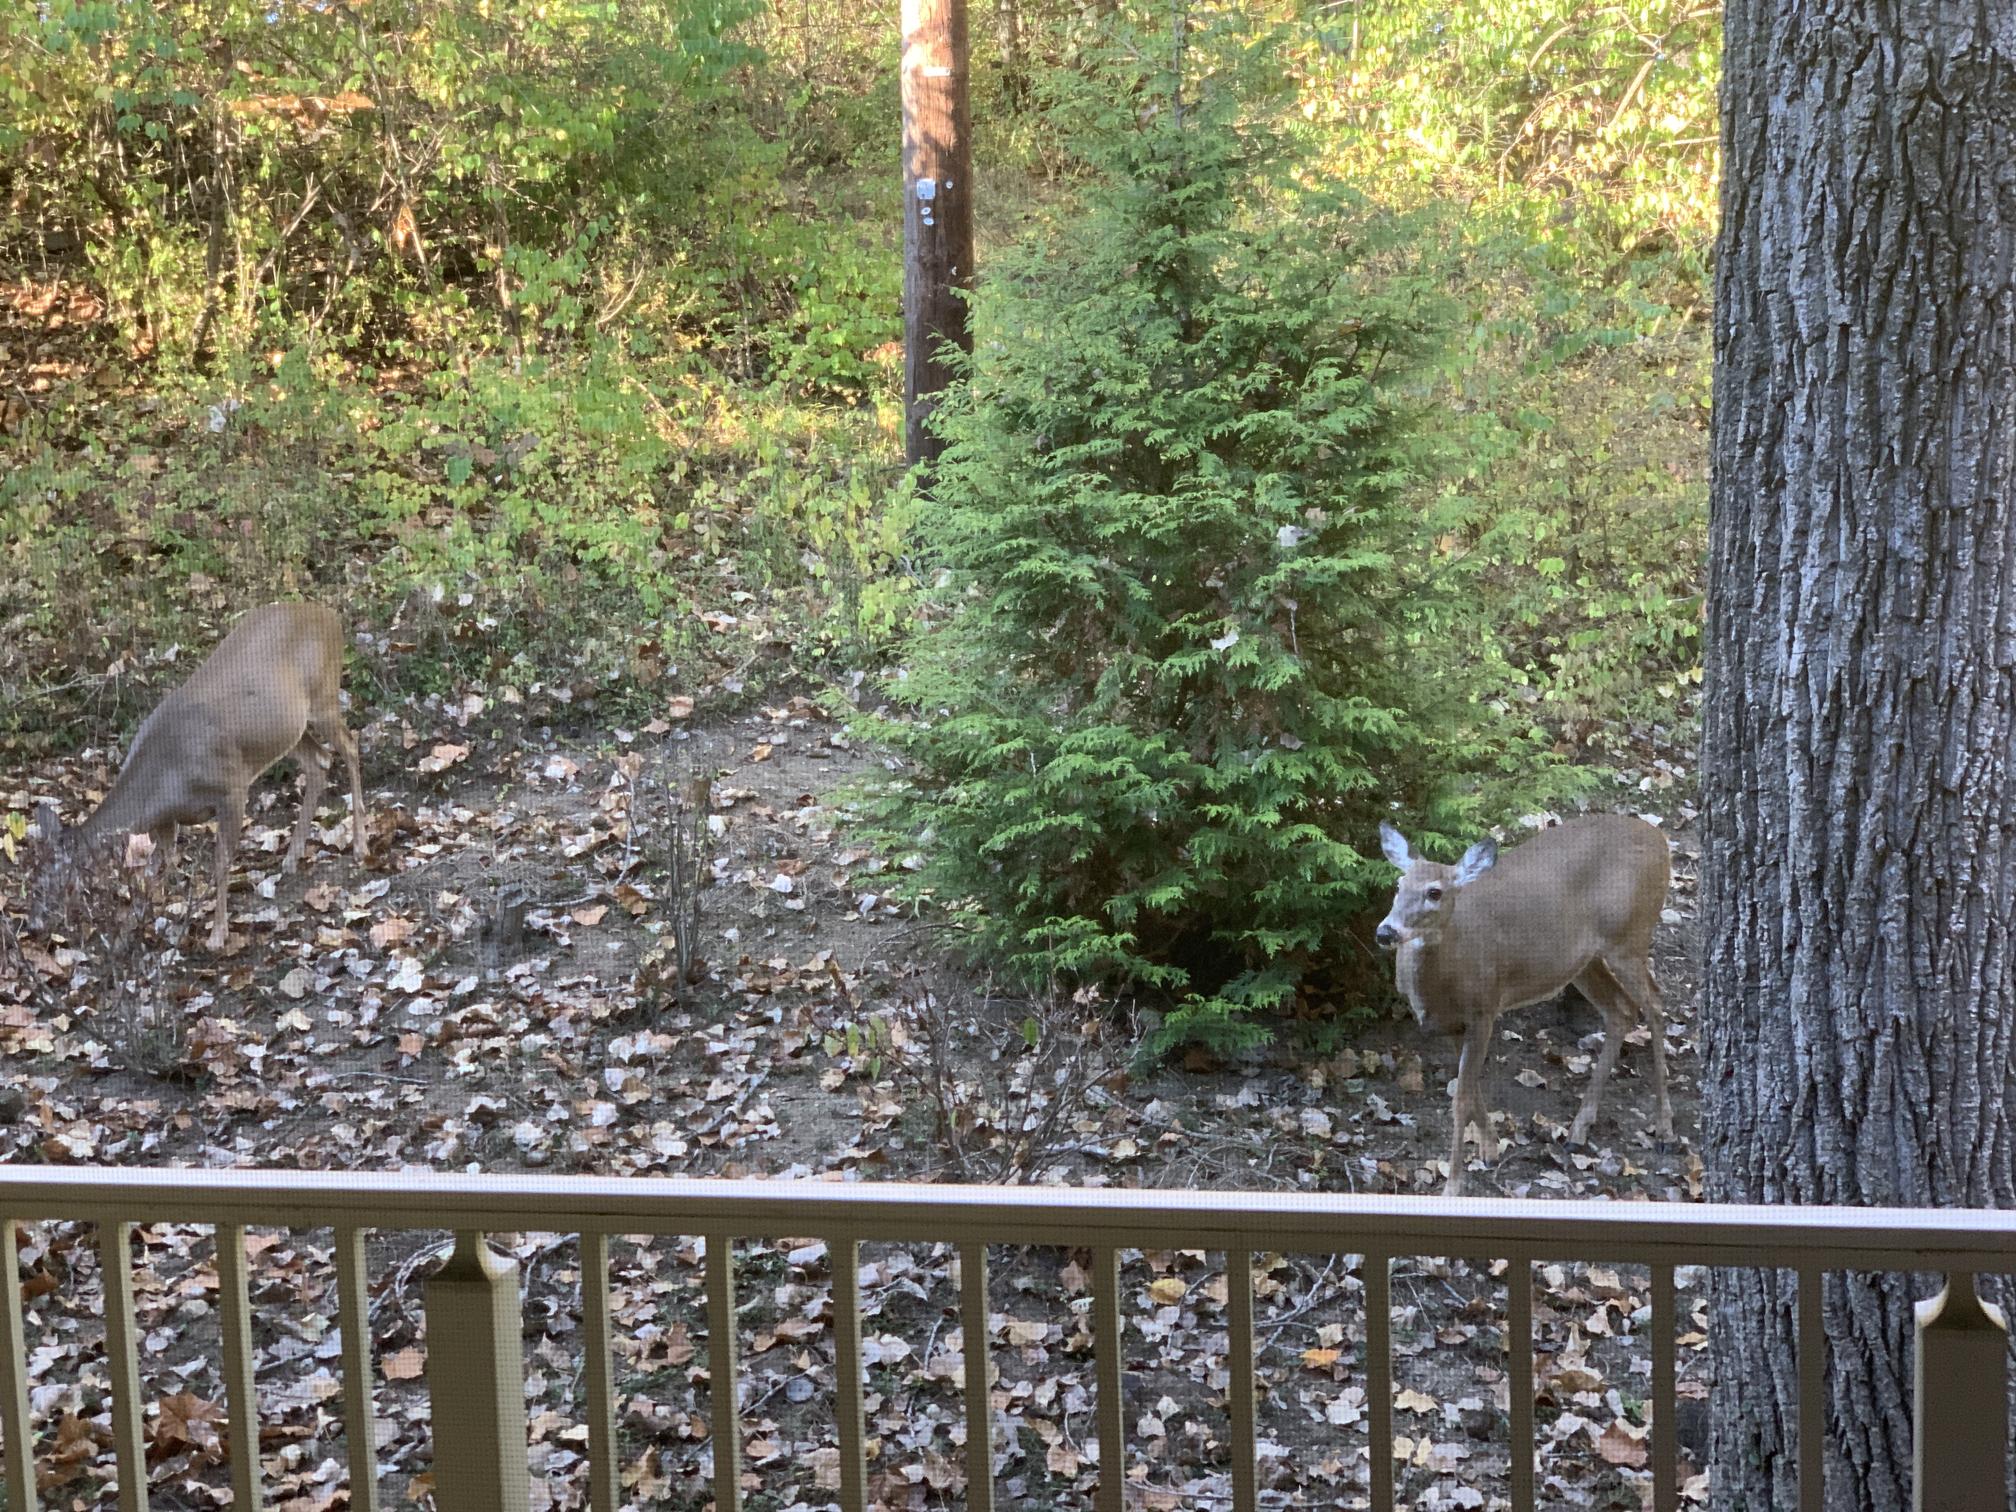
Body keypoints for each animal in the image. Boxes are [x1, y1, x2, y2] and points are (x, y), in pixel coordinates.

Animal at [31, 600, 370, 947]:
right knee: (320, 760)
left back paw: (360, 846)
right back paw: (291, 857)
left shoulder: (231, 788)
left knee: (350, 745)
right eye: (34, 879)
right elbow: (158, 868)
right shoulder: (166, 820)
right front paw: (137, 930)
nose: (35, 923)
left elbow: (220, 863)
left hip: (324, 694)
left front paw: (218, 934)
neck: (167, 776)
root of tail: (329, 614)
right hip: (289, 726)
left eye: (53, 883)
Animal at [1378, 818, 1677, 1193]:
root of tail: (1660, 840)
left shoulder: (1485, 1006)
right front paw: (1490, 1148)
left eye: (1435, 892)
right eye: (1398, 884)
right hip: (1584, 960)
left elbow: (1461, 1099)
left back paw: (1664, 1128)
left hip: (1628, 936)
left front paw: (1454, 1185)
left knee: (1654, 1003)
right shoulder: (1452, 1024)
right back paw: (1579, 1128)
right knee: (1621, 1010)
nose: (1386, 932)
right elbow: (1470, 1090)